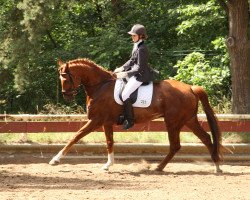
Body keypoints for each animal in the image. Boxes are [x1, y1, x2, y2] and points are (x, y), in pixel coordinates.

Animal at [49, 57, 223, 172]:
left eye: (65, 78)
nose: (66, 96)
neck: (100, 86)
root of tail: (190, 88)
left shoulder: (96, 120)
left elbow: (75, 136)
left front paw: (55, 159)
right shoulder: (106, 122)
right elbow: (109, 142)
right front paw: (108, 165)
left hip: (173, 122)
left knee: (176, 145)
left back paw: (159, 167)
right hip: (189, 120)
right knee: (206, 138)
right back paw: (216, 166)